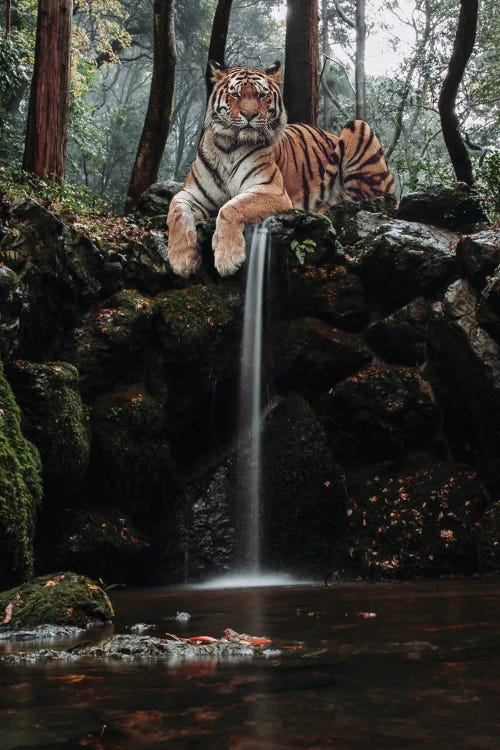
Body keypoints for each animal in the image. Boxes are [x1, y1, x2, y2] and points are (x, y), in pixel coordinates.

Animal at [168, 61, 394, 280]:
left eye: (261, 95)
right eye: (236, 94)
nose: (249, 115)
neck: (228, 146)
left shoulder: (272, 190)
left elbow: (230, 208)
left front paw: (228, 258)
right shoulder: (192, 193)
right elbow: (176, 211)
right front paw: (182, 260)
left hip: (358, 127)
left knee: (364, 199)